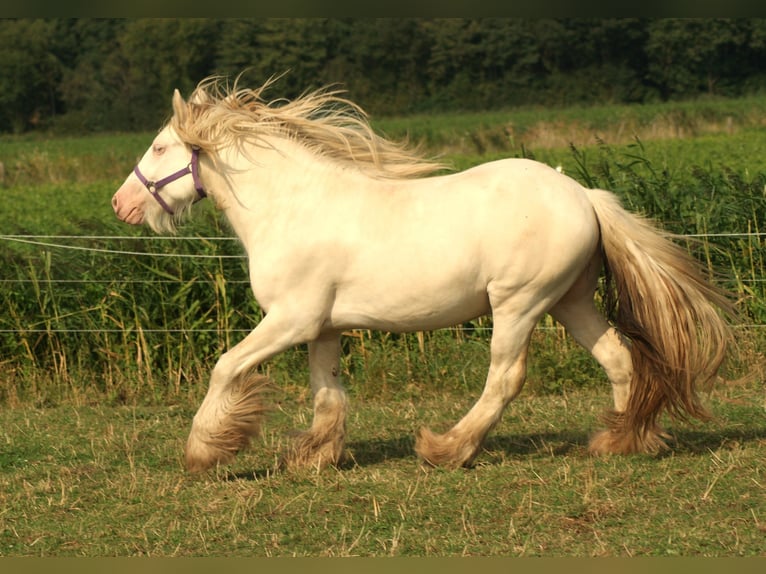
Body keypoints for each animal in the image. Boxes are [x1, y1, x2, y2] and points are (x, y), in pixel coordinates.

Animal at [111, 75, 736, 472]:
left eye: (161, 146)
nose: (122, 205)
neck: (290, 206)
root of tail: (584, 194)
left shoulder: (291, 319)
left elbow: (225, 367)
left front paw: (204, 451)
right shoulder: (324, 327)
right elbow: (327, 394)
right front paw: (314, 456)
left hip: (520, 303)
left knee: (505, 379)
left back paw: (447, 449)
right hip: (570, 301)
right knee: (619, 358)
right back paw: (622, 440)